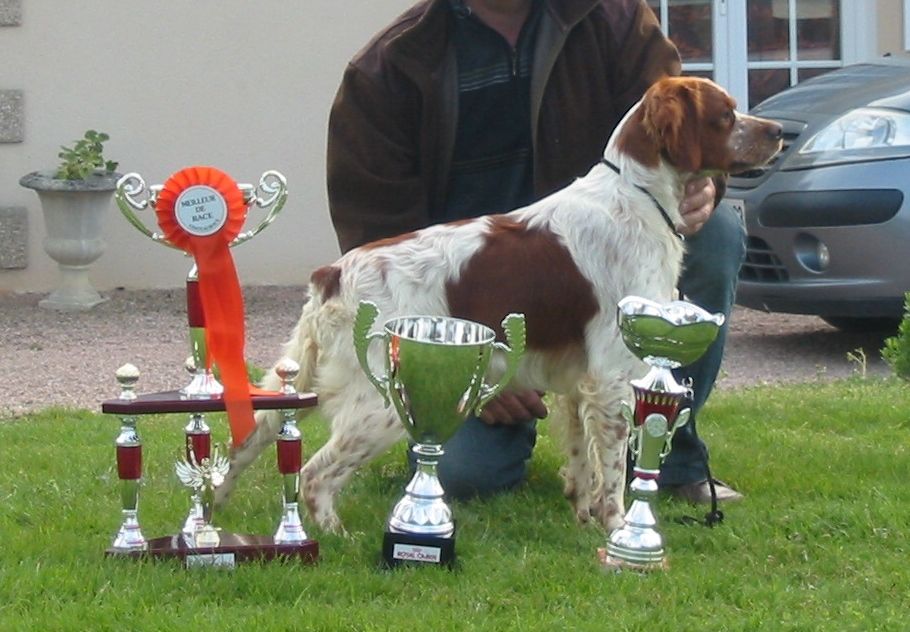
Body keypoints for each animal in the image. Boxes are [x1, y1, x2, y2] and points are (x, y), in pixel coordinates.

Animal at [216, 78, 784, 532]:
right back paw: (335, 538)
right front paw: (620, 533)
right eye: (725, 114)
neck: (638, 196)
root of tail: (333, 275)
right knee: (315, 474)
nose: (779, 130)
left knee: (245, 441)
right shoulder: (614, 374)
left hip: (304, 379)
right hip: (384, 403)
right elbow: (613, 471)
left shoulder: (581, 380)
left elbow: (582, 459)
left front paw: (584, 516)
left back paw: (214, 511)